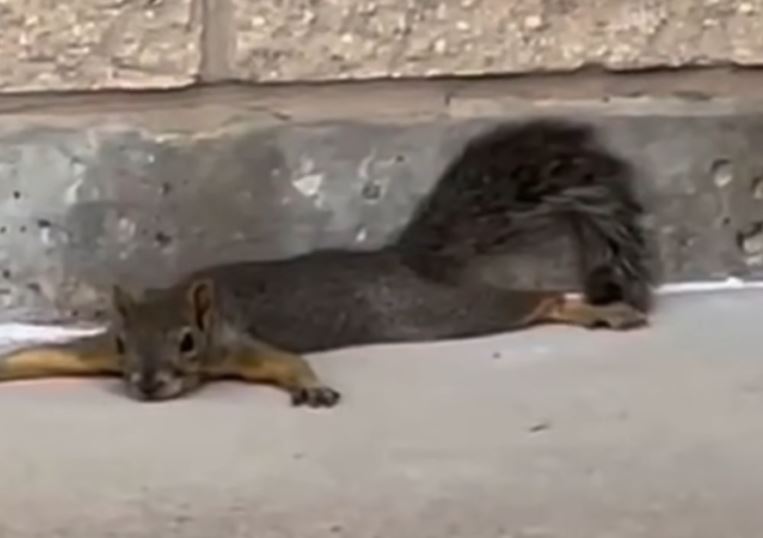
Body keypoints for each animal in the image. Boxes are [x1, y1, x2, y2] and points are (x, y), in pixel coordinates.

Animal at [0, 118, 656, 406]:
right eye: (120, 341)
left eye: (187, 341)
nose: (145, 382)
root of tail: (400, 258)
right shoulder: (91, 354)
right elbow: (42, 355)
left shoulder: (239, 344)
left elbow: (286, 362)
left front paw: (311, 386)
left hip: (436, 312)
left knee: (527, 303)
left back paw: (593, 310)